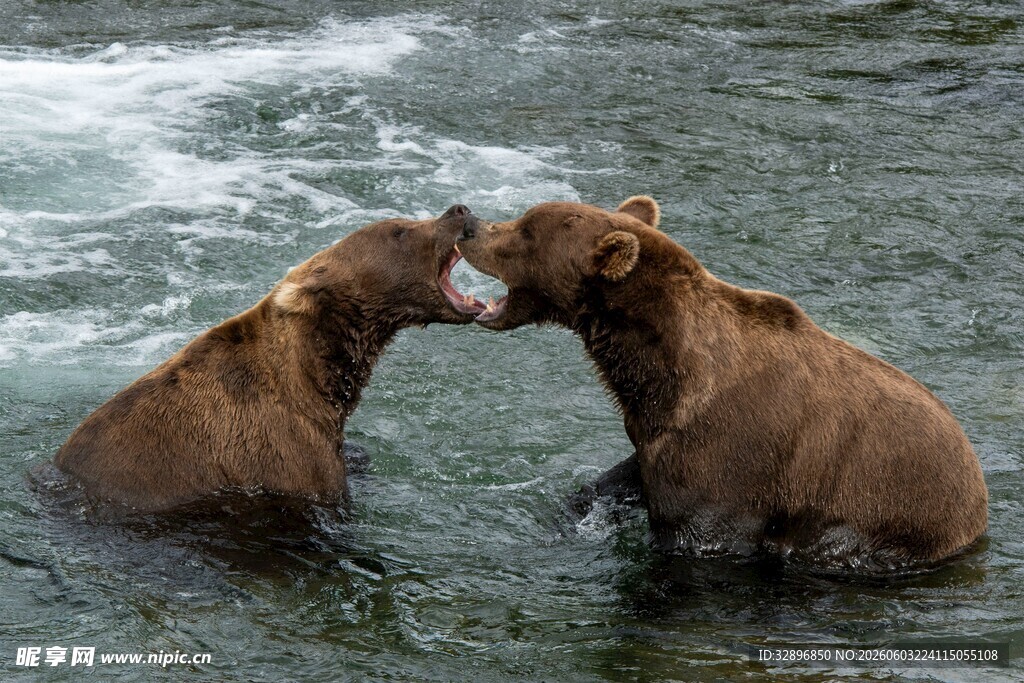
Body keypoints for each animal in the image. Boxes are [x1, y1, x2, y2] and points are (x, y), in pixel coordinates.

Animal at [454, 197, 988, 568]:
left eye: (525, 230)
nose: (469, 224)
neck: (661, 373)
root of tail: (977, 494)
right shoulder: (655, 436)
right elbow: (612, 483)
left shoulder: (726, 458)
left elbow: (699, 537)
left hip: (883, 513)